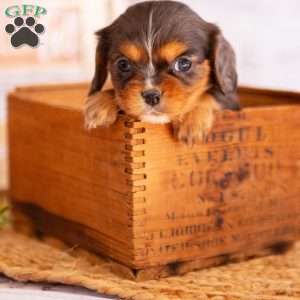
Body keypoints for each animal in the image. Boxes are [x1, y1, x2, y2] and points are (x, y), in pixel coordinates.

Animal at [84, 0, 239, 145]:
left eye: (183, 63)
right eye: (123, 64)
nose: (151, 96)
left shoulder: (231, 100)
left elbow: (211, 95)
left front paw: (190, 118)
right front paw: (100, 104)